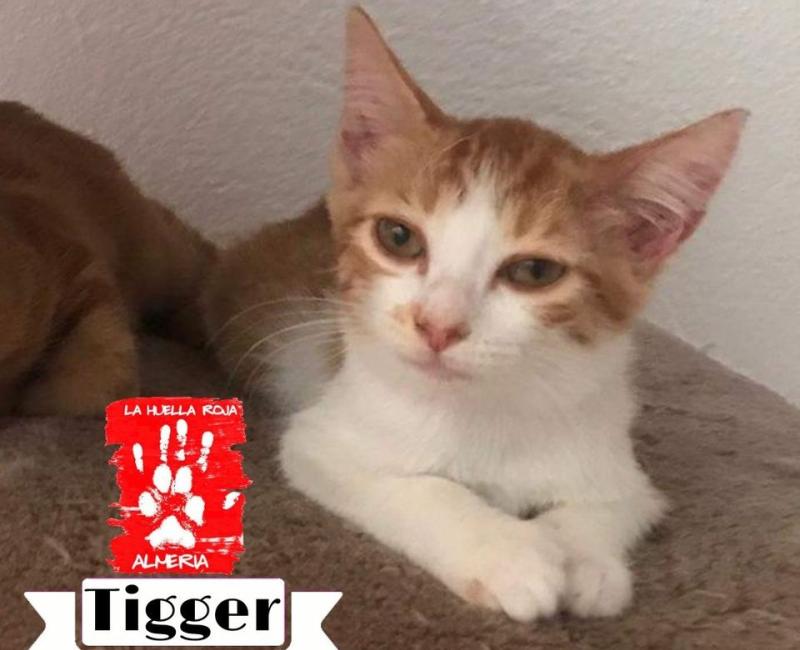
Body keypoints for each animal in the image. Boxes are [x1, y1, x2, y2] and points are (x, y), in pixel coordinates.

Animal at [204, 8, 746, 621]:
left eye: (534, 271)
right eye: (398, 237)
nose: (437, 325)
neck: (488, 405)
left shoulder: (618, 465)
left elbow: (611, 505)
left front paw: (583, 559)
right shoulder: (322, 440)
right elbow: (419, 487)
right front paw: (510, 553)